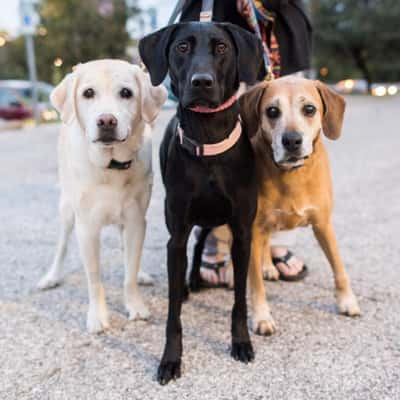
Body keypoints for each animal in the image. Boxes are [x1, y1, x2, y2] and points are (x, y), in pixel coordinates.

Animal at [37, 59, 167, 332]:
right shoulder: (86, 228)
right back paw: (52, 276)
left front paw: (135, 305)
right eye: (88, 93)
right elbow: (94, 277)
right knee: (61, 245)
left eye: (126, 93)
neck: (111, 166)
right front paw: (98, 316)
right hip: (66, 210)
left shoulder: (136, 220)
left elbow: (130, 271)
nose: (106, 121)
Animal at [140, 21, 262, 384]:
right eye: (182, 47)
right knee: (193, 247)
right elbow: (172, 315)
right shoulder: (176, 235)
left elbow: (239, 302)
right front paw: (170, 359)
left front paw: (241, 342)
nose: (202, 82)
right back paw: (187, 282)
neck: (208, 136)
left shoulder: (242, 232)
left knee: (202, 240)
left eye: (221, 47)